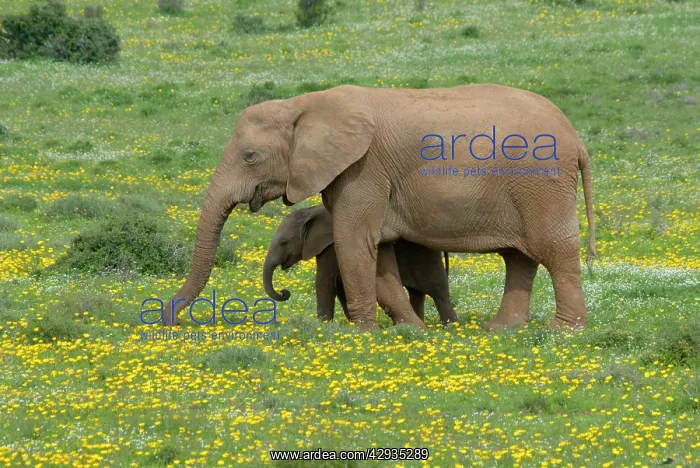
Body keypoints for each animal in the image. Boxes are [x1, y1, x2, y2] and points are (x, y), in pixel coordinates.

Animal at [262, 204, 458, 325]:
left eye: (283, 243)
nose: (285, 292)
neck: (309, 212)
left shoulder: (332, 245)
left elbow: (325, 280)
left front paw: (323, 326)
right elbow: (340, 284)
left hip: (426, 256)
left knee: (438, 290)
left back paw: (449, 327)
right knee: (418, 293)